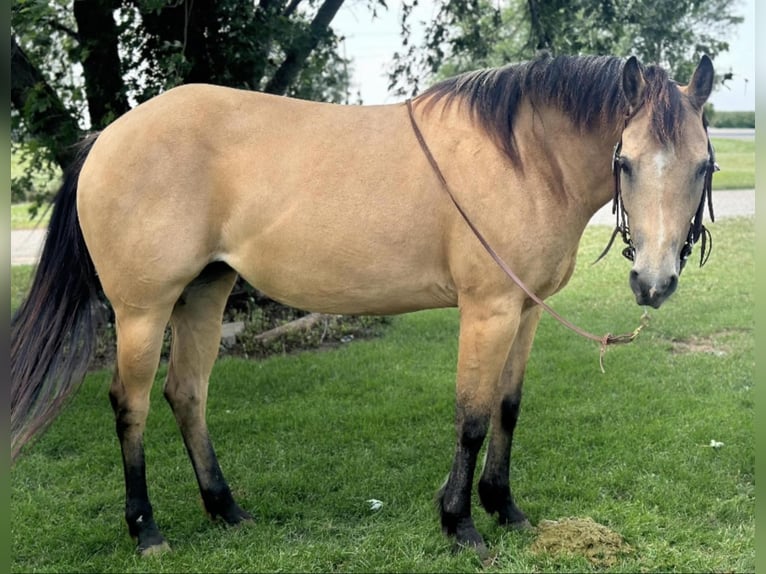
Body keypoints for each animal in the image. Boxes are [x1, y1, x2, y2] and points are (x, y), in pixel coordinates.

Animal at [11, 52, 716, 557]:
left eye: (703, 167)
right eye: (626, 161)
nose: (653, 282)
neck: (522, 160)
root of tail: (106, 137)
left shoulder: (526, 310)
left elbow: (508, 409)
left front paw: (505, 507)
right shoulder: (487, 310)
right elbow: (472, 416)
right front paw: (460, 524)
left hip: (204, 294)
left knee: (186, 394)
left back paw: (226, 509)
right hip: (142, 311)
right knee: (129, 406)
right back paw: (147, 530)